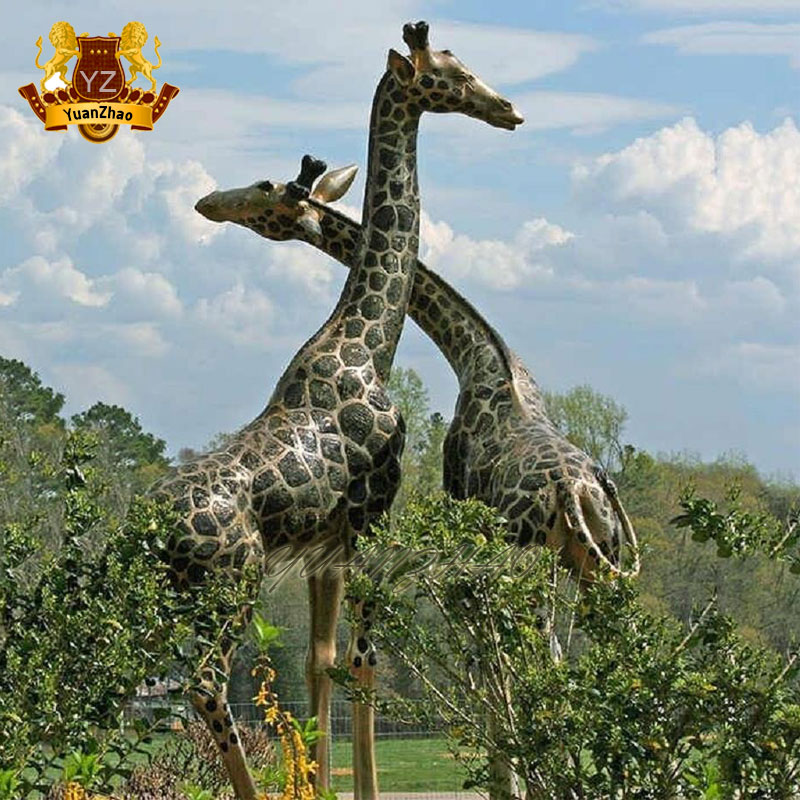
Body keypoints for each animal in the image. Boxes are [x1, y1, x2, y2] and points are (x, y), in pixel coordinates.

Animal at [156, 21, 522, 800]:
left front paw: (320, 783)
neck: (367, 340)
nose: (507, 108)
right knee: (203, 686)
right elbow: (362, 661)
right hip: (232, 582)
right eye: (453, 72)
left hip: (168, 596)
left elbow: (318, 660)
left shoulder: (324, 537)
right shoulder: (368, 512)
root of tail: (146, 532)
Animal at [196, 160, 640, 583]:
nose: (208, 202)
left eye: (265, 189)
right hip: (603, 554)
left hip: (525, 545)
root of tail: (574, 491)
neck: (477, 356)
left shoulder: (455, 486)